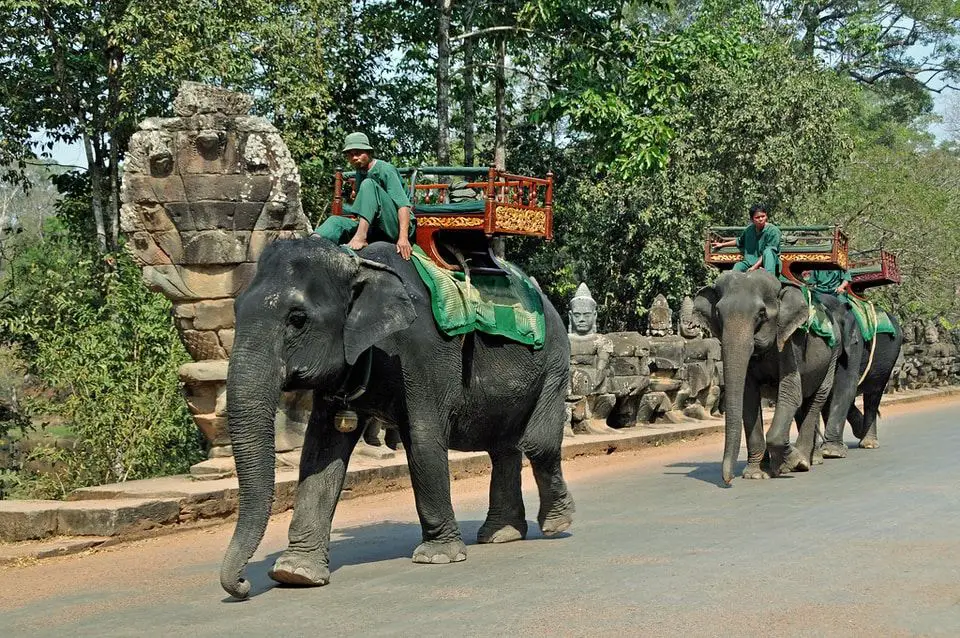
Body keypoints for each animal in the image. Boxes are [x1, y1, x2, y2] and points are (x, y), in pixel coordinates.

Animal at [221, 238, 572, 604]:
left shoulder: (423, 353)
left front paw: (439, 556)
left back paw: (556, 524)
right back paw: (501, 534)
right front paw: (295, 574)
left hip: (555, 362)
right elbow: (320, 452)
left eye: (298, 319)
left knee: (537, 444)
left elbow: (422, 438)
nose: (243, 585)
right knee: (503, 448)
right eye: (236, 310)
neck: (359, 264)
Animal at [812, 292, 904, 458]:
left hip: (889, 356)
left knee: (873, 395)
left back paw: (868, 443)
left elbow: (845, 384)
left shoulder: (854, 344)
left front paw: (831, 452)